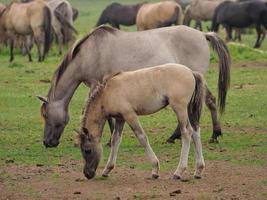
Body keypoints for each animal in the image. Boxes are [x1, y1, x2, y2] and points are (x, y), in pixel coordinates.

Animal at [36, 25, 231, 148]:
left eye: (46, 115)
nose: (47, 142)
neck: (90, 53)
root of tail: (202, 34)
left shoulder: (96, 84)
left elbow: (94, 112)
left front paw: (100, 140)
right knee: (209, 101)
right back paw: (190, 136)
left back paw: (210, 135)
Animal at [78, 63, 206, 180]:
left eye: (87, 150)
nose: (87, 174)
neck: (108, 93)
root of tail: (191, 72)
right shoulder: (120, 118)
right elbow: (115, 140)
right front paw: (107, 169)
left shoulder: (129, 115)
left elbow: (142, 137)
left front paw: (155, 169)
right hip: (188, 110)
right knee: (195, 131)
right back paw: (198, 170)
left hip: (180, 109)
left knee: (187, 132)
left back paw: (178, 172)